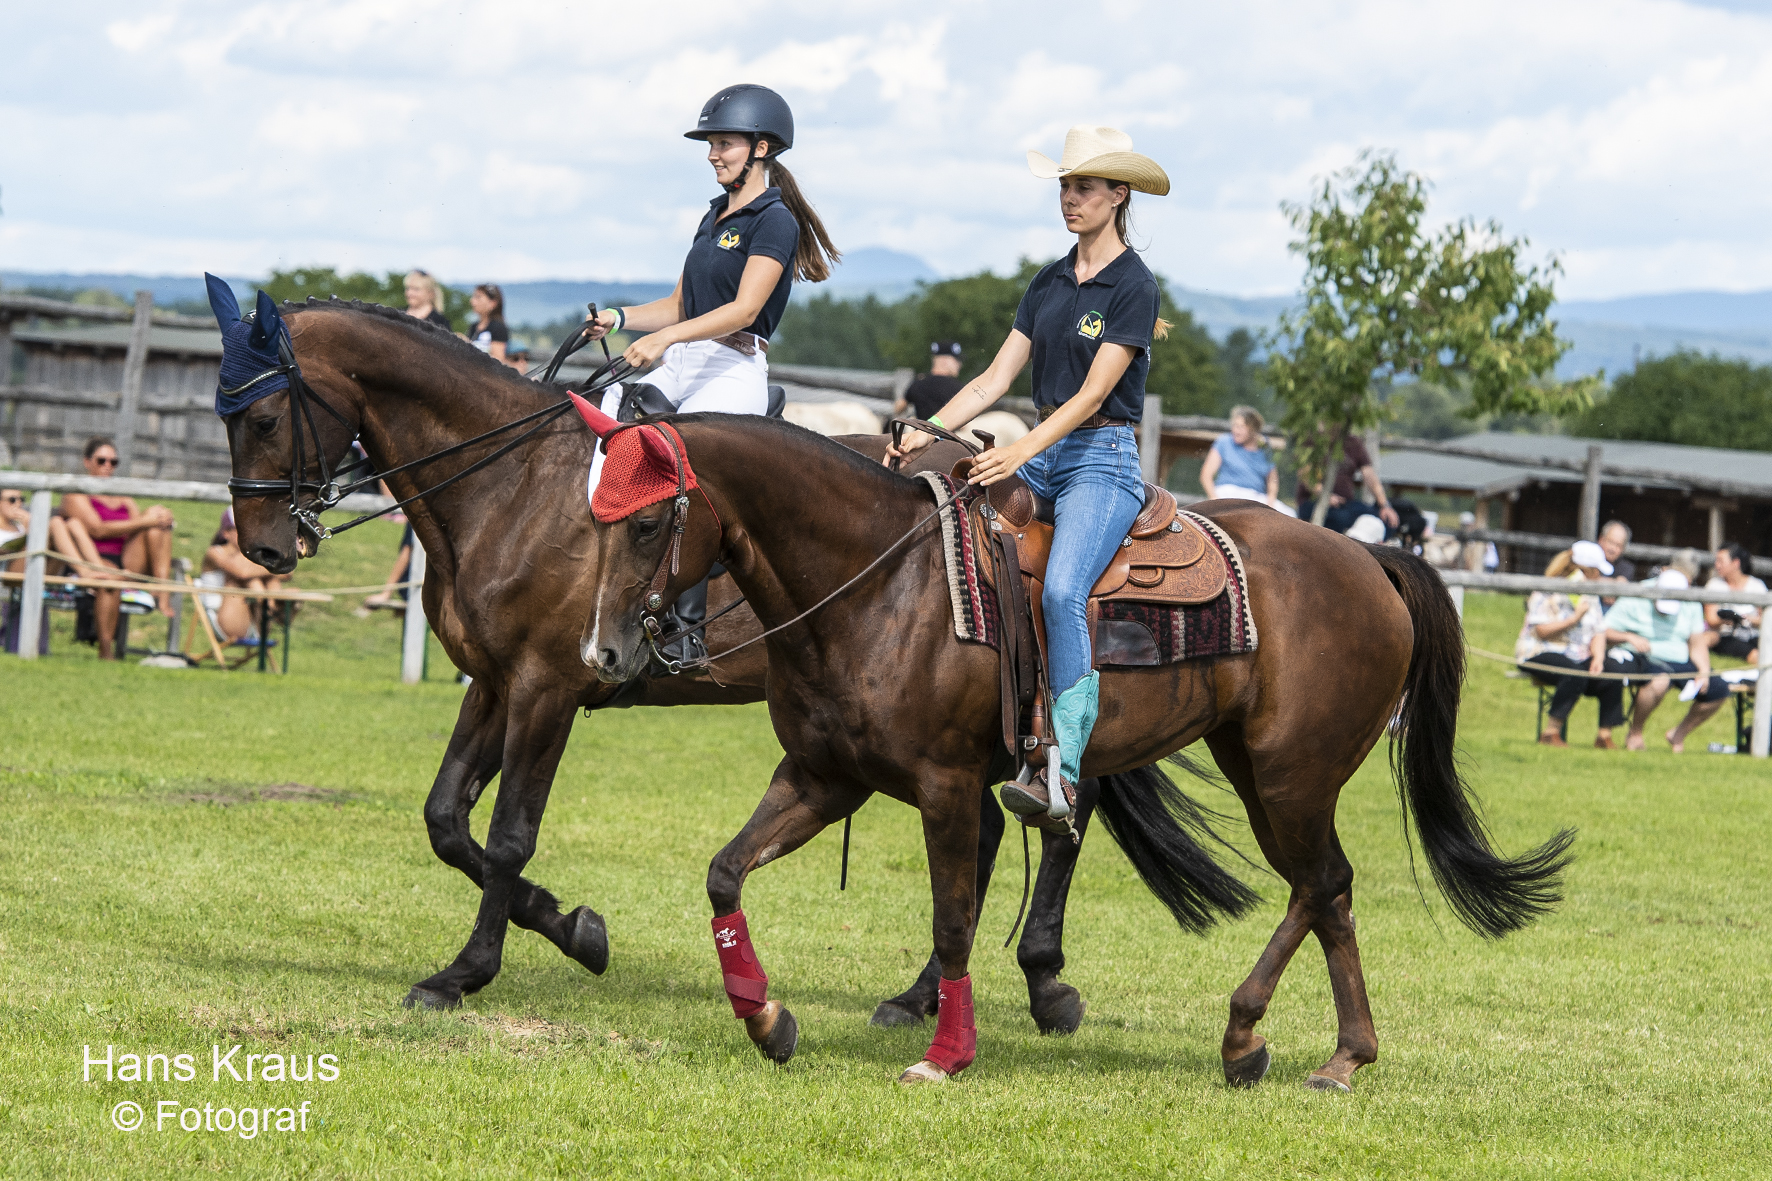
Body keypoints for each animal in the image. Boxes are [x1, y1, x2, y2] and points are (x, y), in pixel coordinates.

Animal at [219, 301, 1077, 1021]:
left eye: (261, 416)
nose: (264, 547)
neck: (512, 484)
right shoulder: (494, 683)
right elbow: (447, 821)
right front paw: (571, 925)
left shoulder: (545, 687)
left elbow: (508, 835)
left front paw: (470, 970)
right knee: (988, 834)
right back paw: (927, 995)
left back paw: (1019, 984)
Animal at [584, 411, 1580, 1085]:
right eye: (592, 521)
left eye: (649, 522)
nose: (604, 653)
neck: (880, 584)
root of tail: (1367, 559)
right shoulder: (824, 777)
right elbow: (725, 872)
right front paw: (766, 1018)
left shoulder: (946, 786)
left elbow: (953, 917)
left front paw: (948, 1052)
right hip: (1258, 769)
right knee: (1324, 889)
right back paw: (1333, 1052)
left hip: (1293, 774)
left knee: (1320, 881)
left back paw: (1253, 1030)